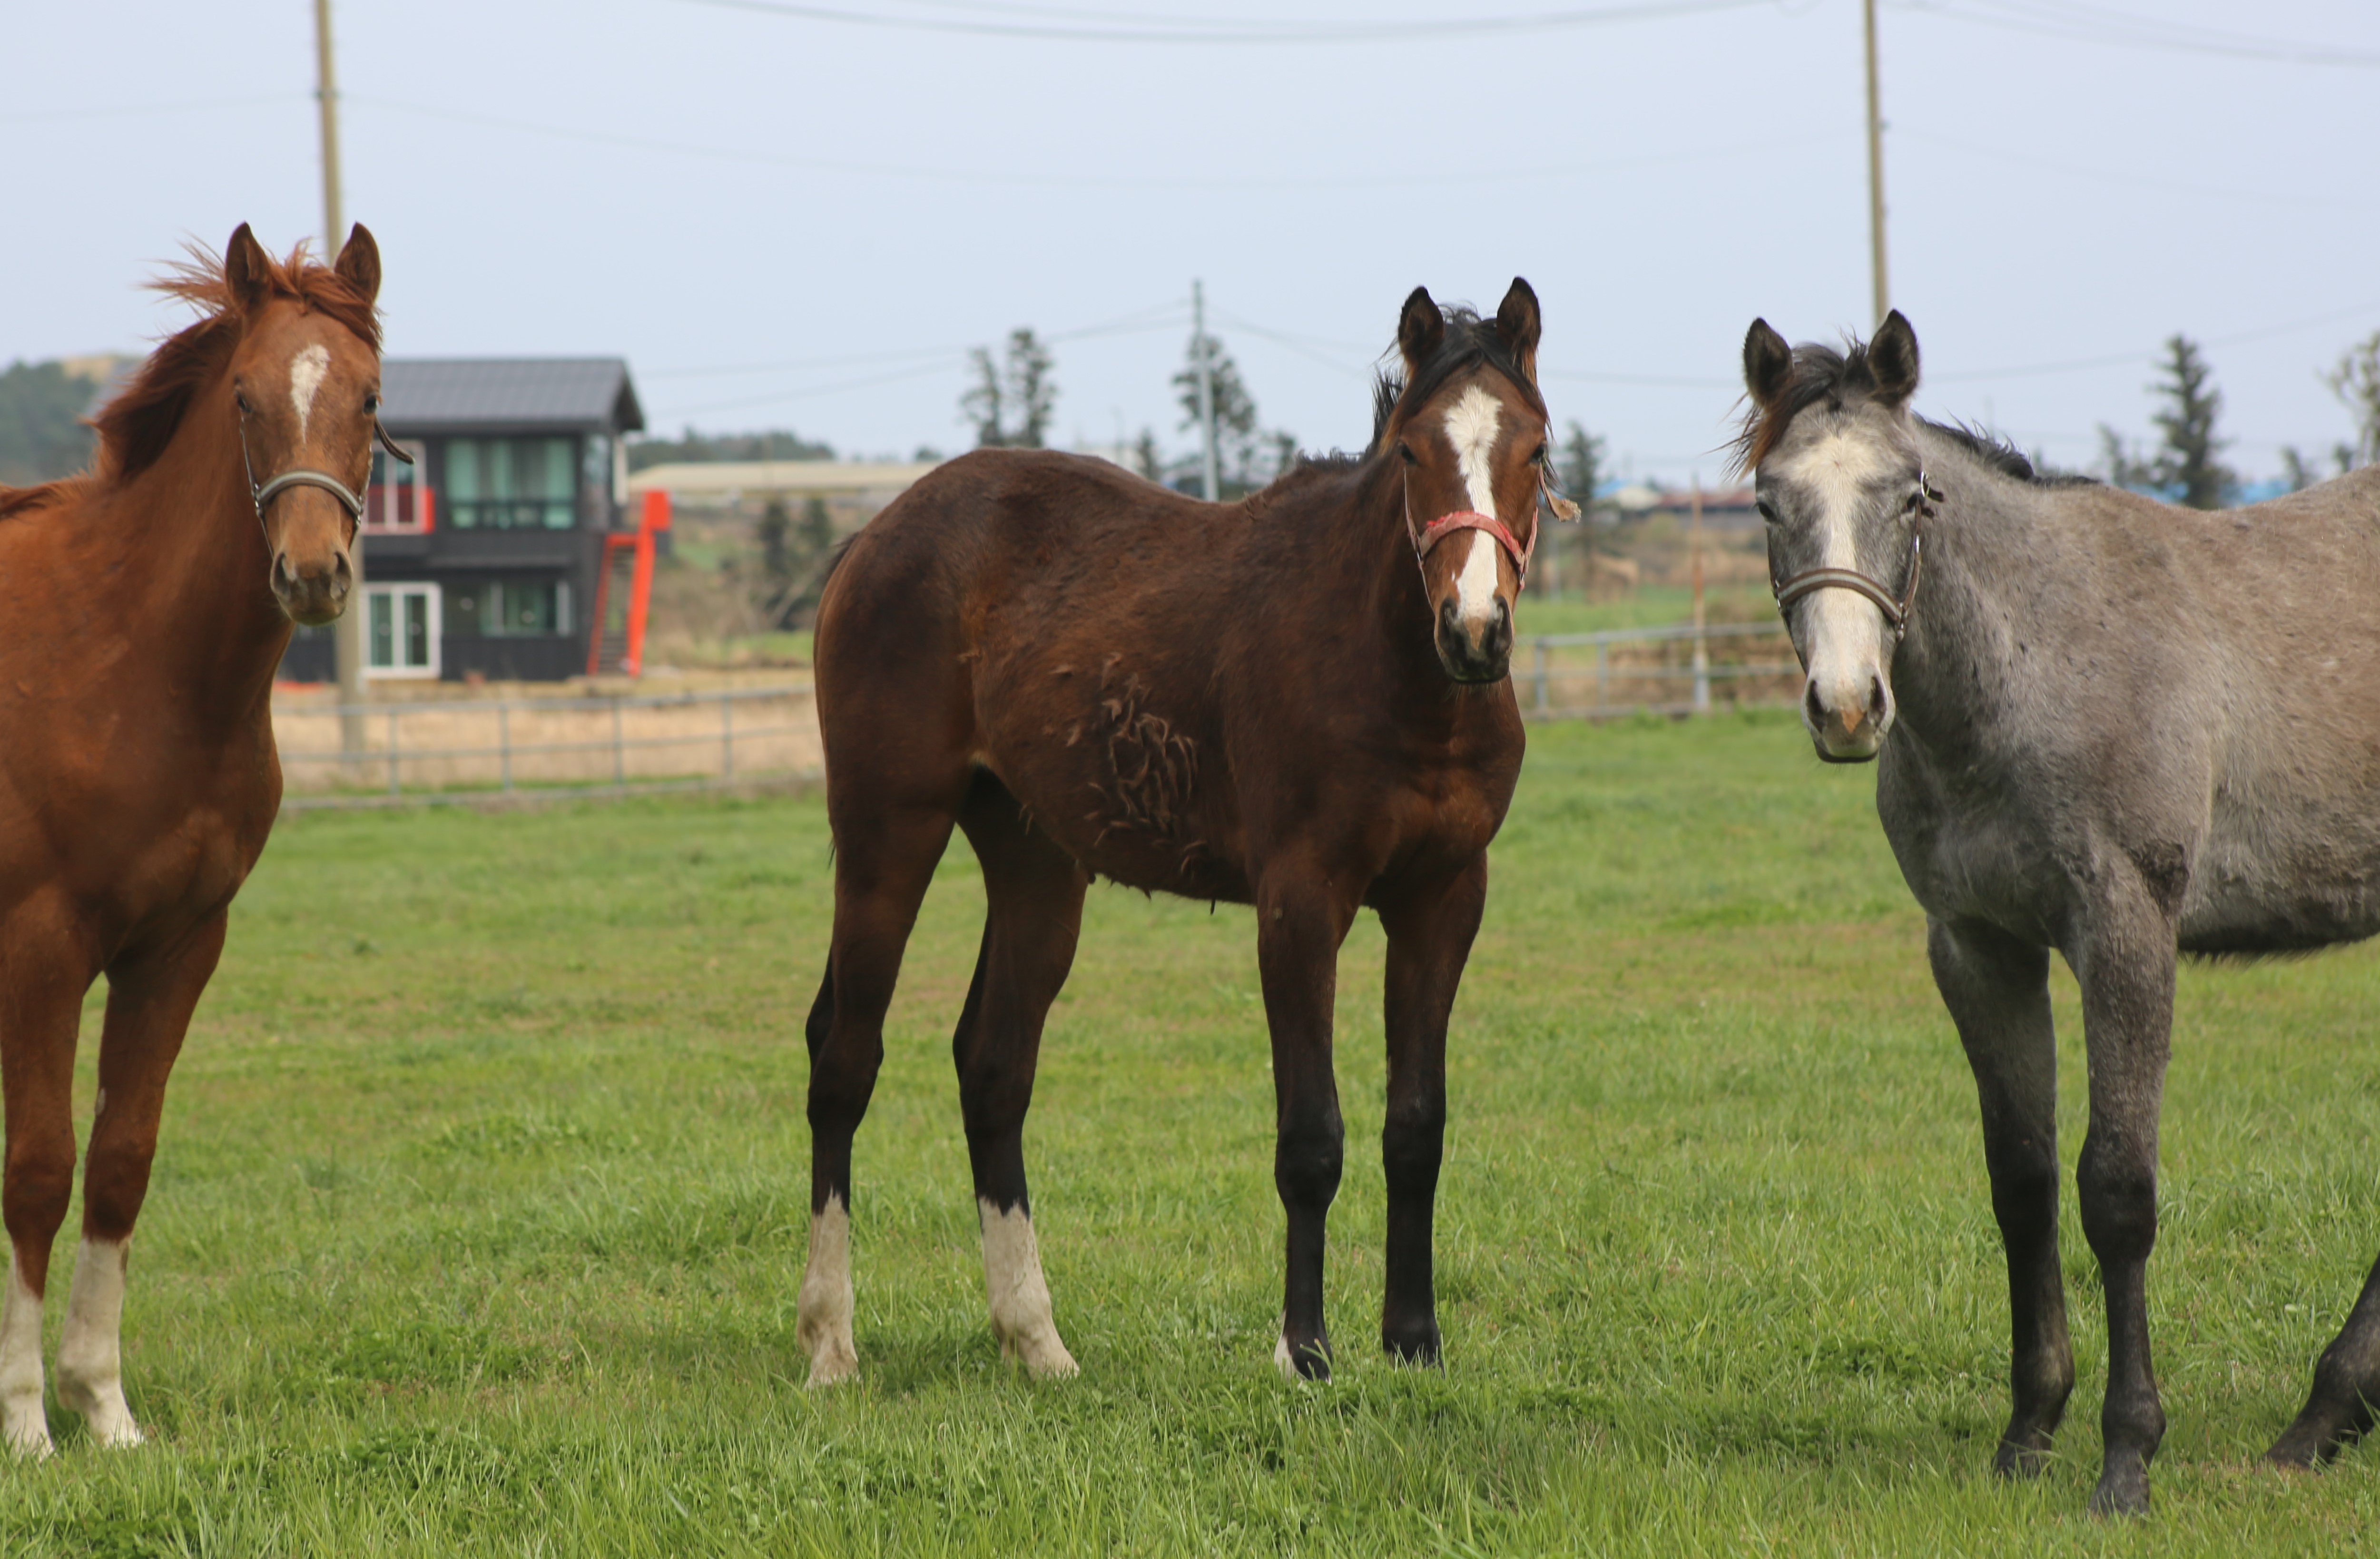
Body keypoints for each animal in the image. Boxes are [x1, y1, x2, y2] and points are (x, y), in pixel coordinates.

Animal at [0, 226, 390, 1456]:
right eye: (244, 398)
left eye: (370, 397)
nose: (311, 574)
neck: (124, 655)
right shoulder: (38, 952)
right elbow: (40, 1168)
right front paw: (26, 1425)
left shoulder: (177, 947)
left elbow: (122, 1161)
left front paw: (102, 1407)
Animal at [790, 277, 1552, 1380]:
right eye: (1412, 452)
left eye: (1534, 448)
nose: (1475, 629)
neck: (1399, 678)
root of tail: (877, 535)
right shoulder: (1298, 903)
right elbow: (1309, 1136)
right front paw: (1303, 1350)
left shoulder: (1443, 899)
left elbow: (1416, 1126)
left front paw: (1413, 1340)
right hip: (888, 832)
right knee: (843, 1056)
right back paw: (831, 1343)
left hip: (1034, 859)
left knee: (993, 1064)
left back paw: (1037, 1342)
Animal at [1732, 312, 2380, 1523]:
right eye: (1765, 501)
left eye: (1911, 494)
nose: (1845, 707)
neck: (2030, 666)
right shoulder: (1977, 948)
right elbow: (2021, 1183)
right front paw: (2027, 1431)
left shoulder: (2125, 931)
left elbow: (2114, 1191)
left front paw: (2126, 1457)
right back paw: (2322, 1418)